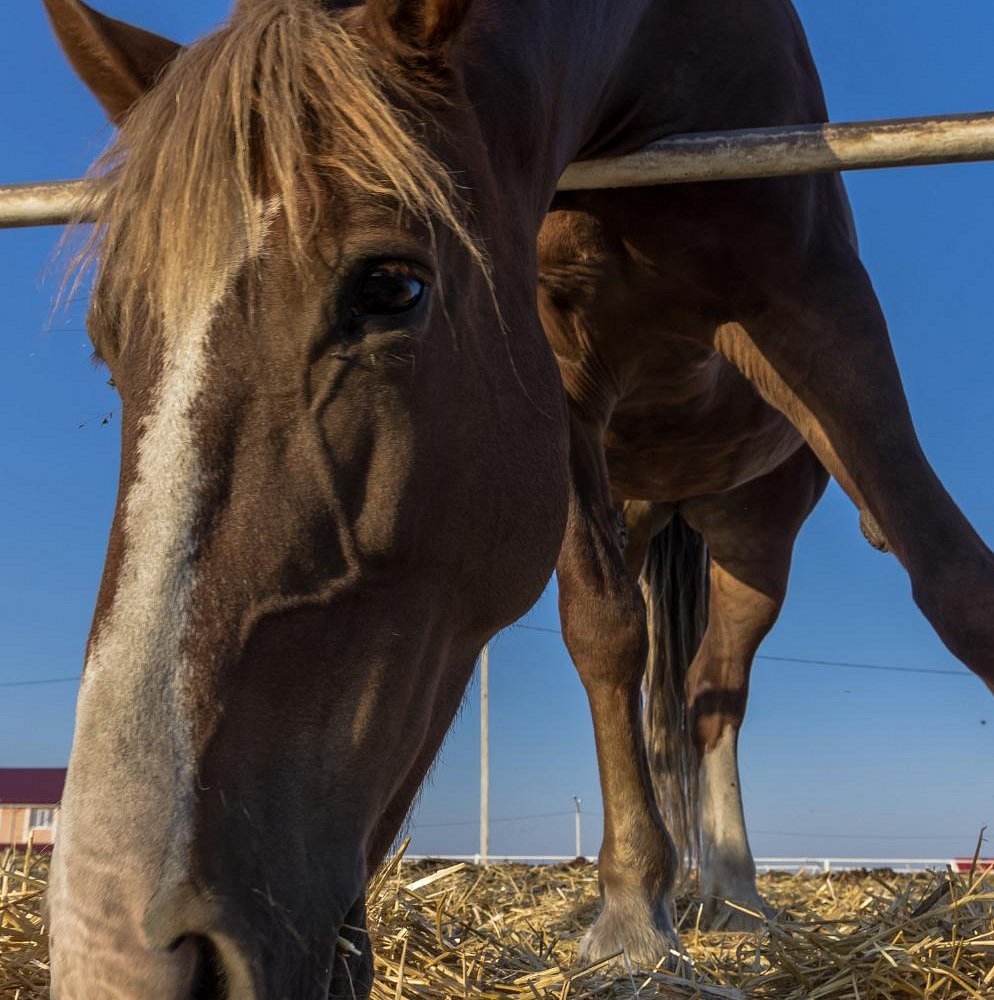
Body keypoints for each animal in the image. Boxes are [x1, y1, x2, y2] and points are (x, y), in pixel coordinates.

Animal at [40, 0, 992, 996]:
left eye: (392, 286)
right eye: (107, 342)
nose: (122, 955)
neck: (656, 60)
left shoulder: (812, 298)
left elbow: (960, 588)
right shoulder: (561, 365)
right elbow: (605, 634)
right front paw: (632, 914)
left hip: (753, 526)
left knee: (714, 692)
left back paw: (732, 892)